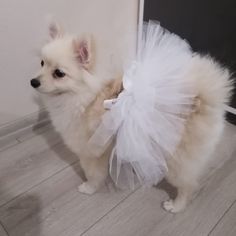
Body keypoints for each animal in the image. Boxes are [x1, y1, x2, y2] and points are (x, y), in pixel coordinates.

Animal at [30, 23, 232, 213]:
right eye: (41, 63)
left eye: (59, 73)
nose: (33, 81)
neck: (85, 97)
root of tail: (203, 101)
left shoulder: (91, 152)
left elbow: (93, 174)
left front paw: (88, 188)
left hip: (176, 160)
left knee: (188, 186)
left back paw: (176, 206)